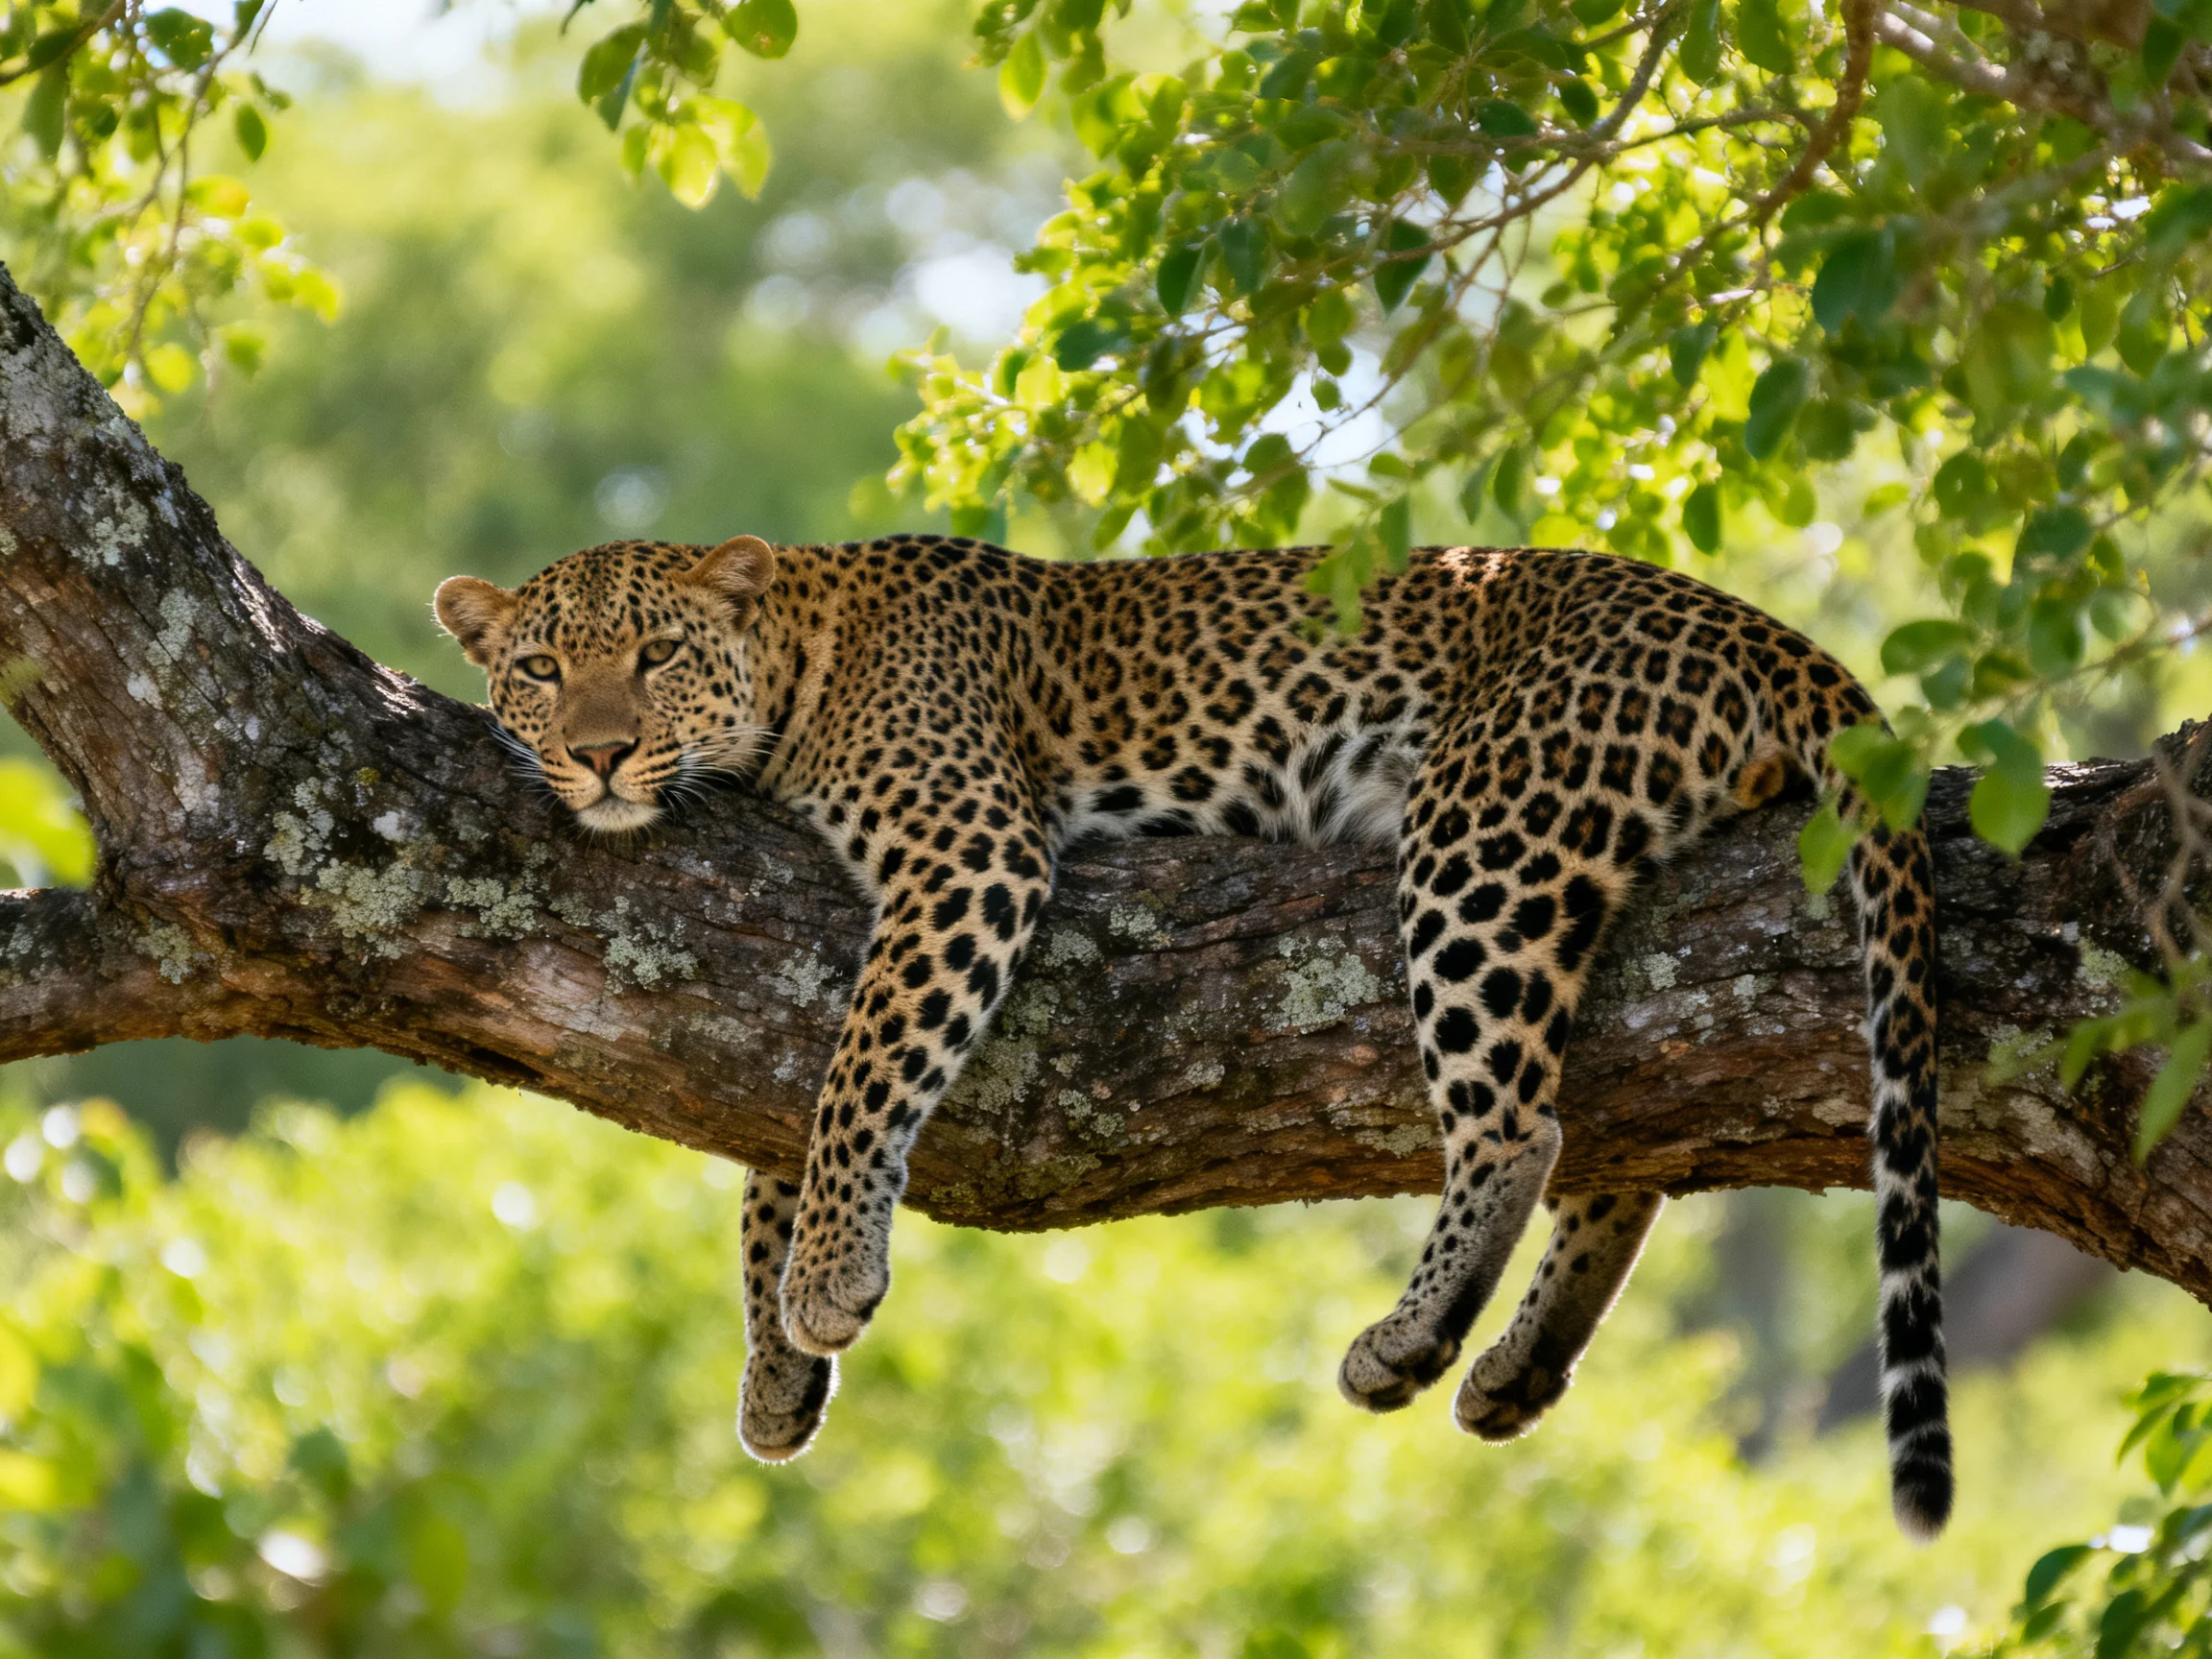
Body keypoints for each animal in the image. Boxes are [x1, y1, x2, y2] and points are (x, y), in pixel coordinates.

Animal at [434, 532, 1951, 1539]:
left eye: (656, 657)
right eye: (542, 668)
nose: (601, 756)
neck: (802, 656)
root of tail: (1744, 618)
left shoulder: (967, 855)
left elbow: (860, 1080)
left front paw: (825, 1289)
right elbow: (777, 1137)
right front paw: (776, 1369)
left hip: (1486, 834)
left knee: (1522, 1124)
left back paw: (1411, 1337)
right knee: (1632, 1147)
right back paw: (1517, 1368)